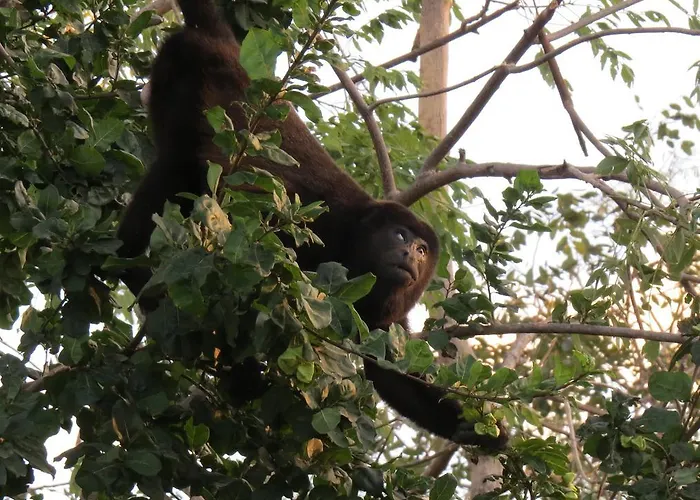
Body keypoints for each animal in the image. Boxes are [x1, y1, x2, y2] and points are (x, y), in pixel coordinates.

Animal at [116, 0, 506, 450]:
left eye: (423, 250)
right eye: (400, 234)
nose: (410, 253)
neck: (354, 241)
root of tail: (218, 41)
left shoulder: (381, 317)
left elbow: (391, 372)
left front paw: (474, 428)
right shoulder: (317, 229)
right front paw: (242, 375)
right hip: (184, 75)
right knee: (180, 163)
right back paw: (131, 262)